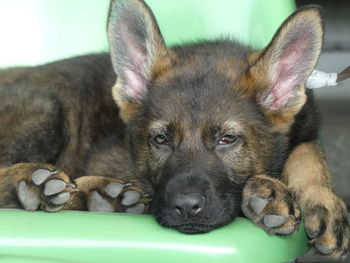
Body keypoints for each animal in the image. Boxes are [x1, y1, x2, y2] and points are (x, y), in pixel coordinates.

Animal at [0, 0, 348, 260]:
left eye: (227, 139)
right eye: (160, 139)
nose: (186, 208)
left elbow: (308, 149)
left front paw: (322, 200)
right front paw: (270, 192)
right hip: (46, 106)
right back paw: (40, 185)